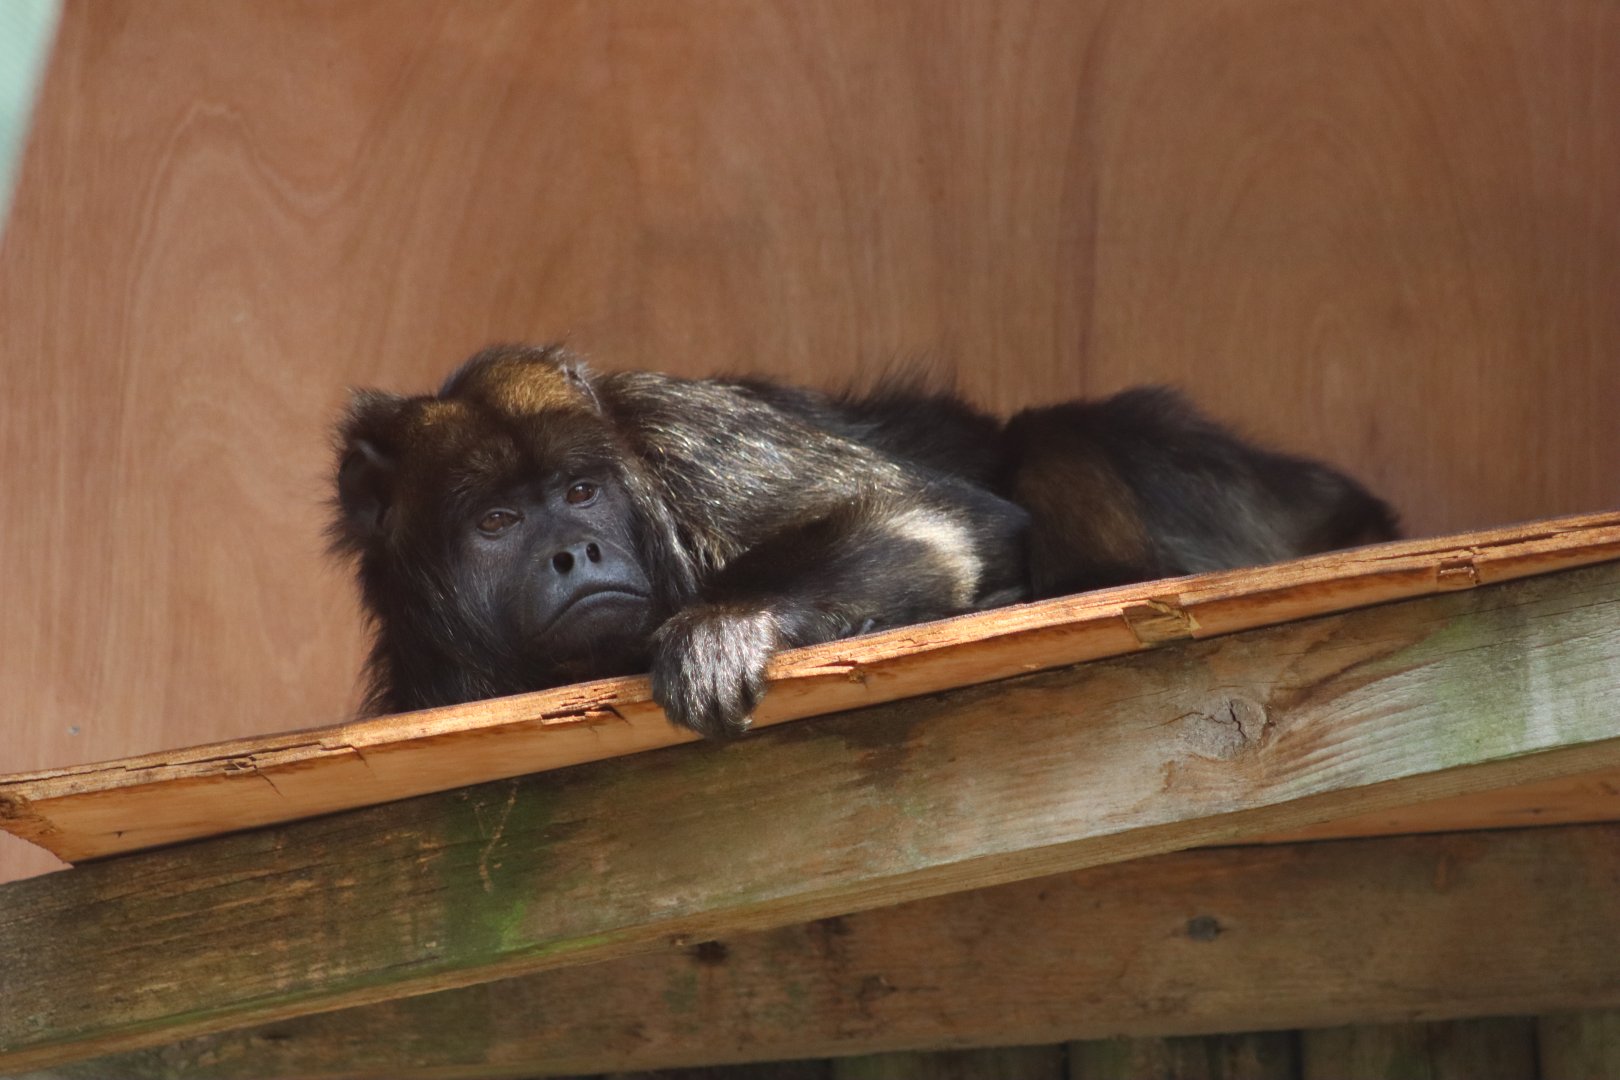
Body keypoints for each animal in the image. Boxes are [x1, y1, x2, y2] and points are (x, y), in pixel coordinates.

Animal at [331, 344, 1398, 738]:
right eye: (497, 523)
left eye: (581, 493)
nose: (577, 553)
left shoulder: (679, 433)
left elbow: (930, 525)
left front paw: (727, 625)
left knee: (1054, 431)